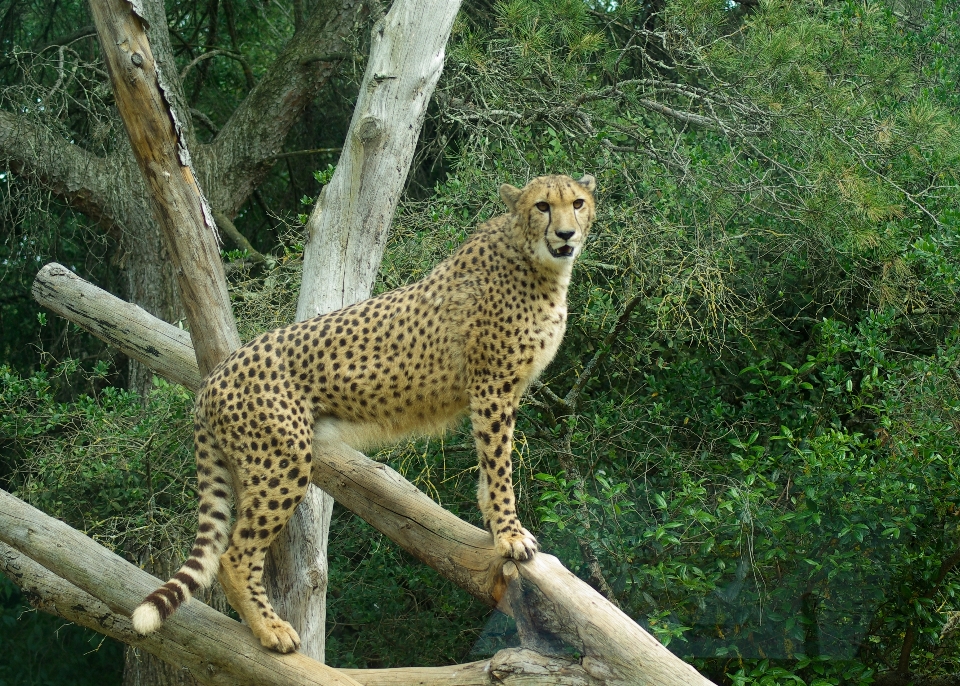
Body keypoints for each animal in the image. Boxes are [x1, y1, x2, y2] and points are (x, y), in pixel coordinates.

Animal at [131, 173, 596, 656]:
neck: (535, 261)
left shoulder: (498, 391)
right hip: (283, 461)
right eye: (543, 206)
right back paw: (271, 629)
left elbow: (490, 467)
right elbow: (500, 464)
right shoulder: (491, 387)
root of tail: (214, 375)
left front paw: (494, 525)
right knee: (232, 557)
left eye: (578, 203)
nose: (566, 234)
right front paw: (510, 535)